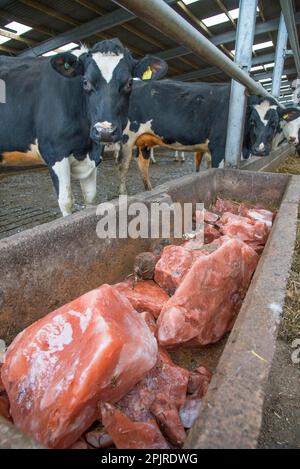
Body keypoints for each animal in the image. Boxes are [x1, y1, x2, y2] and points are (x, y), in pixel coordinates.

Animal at [0, 39, 168, 215]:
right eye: (85, 82)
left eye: (129, 83)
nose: (105, 131)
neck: (84, 145)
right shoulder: (53, 152)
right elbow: (66, 201)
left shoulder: (92, 156)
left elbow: (91, 198)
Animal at [116, 79, 284, 193]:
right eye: (252, 121)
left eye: (275, 124)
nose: (260, 149)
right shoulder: (218, 148)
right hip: (126, 138)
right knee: (123, 166)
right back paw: (123, 194)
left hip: (144, 140)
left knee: (142, 165)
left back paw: (149, 190)